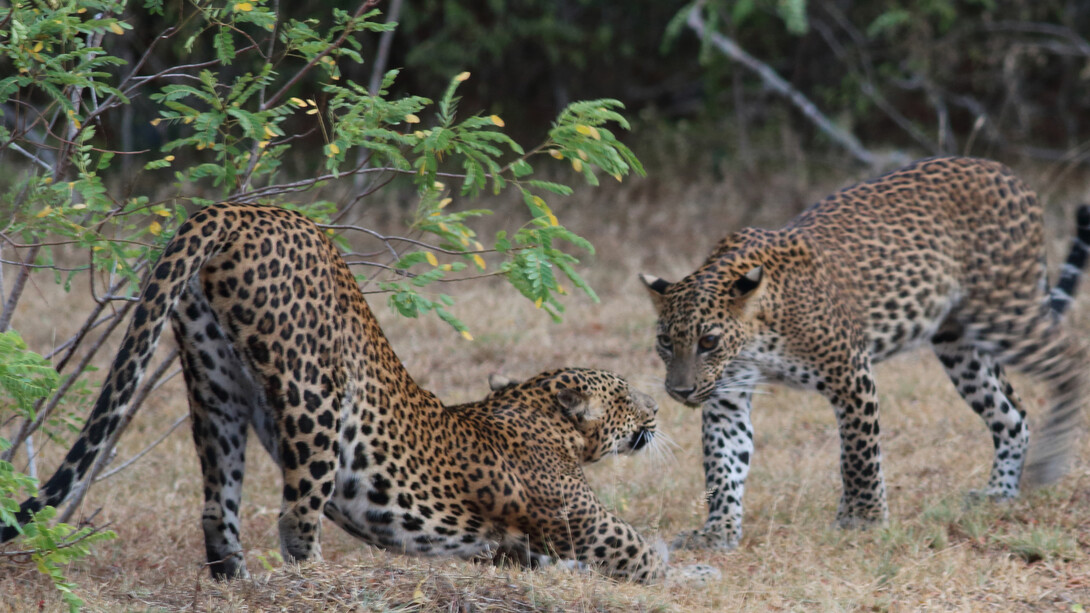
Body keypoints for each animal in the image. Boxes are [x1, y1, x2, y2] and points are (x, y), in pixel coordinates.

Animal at [0, 202, 665, 583]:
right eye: (627, 396)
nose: (658, 408)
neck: (531, 409)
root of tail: (235, 208)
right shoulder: (587, 524)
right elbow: (641, 552)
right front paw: (679, 569)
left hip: (213, 383)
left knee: (219, 503)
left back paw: (235, 581)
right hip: (313, 388)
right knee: (296, 512)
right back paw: (312, 580)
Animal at [639, 156, 1090, 552]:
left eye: (708, 342)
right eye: (665, 341)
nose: (679, 391)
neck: (757, 337)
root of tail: (1010, 175)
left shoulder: (850, 373)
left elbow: (859, 454)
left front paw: (864, 519)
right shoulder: (726, 398)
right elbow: (723, 463)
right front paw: (717, 531)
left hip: (1004, 312)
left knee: (1072, 357)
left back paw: (1049, 464)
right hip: (960, 345)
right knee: (1011, 413)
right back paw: (1000, 491)